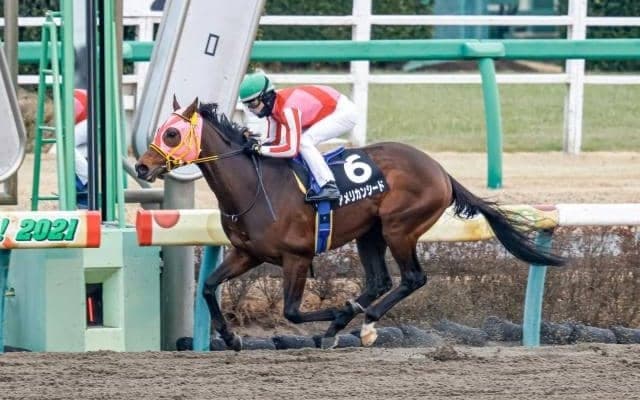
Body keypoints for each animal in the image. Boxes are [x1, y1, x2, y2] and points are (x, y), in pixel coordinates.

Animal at [135, 97, 565, 351]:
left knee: (412, 278)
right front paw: (230, 336)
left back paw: (365, 322)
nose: (141, 166)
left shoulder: (296, 257)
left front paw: (339, 314)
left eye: (171, 133)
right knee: (380, 280)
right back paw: (350, 321)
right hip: (369, 233)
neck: (254, 186)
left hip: (398, 227)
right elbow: (208, 286)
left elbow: (292, 312)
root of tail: (441, 170)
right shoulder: (247, 253)